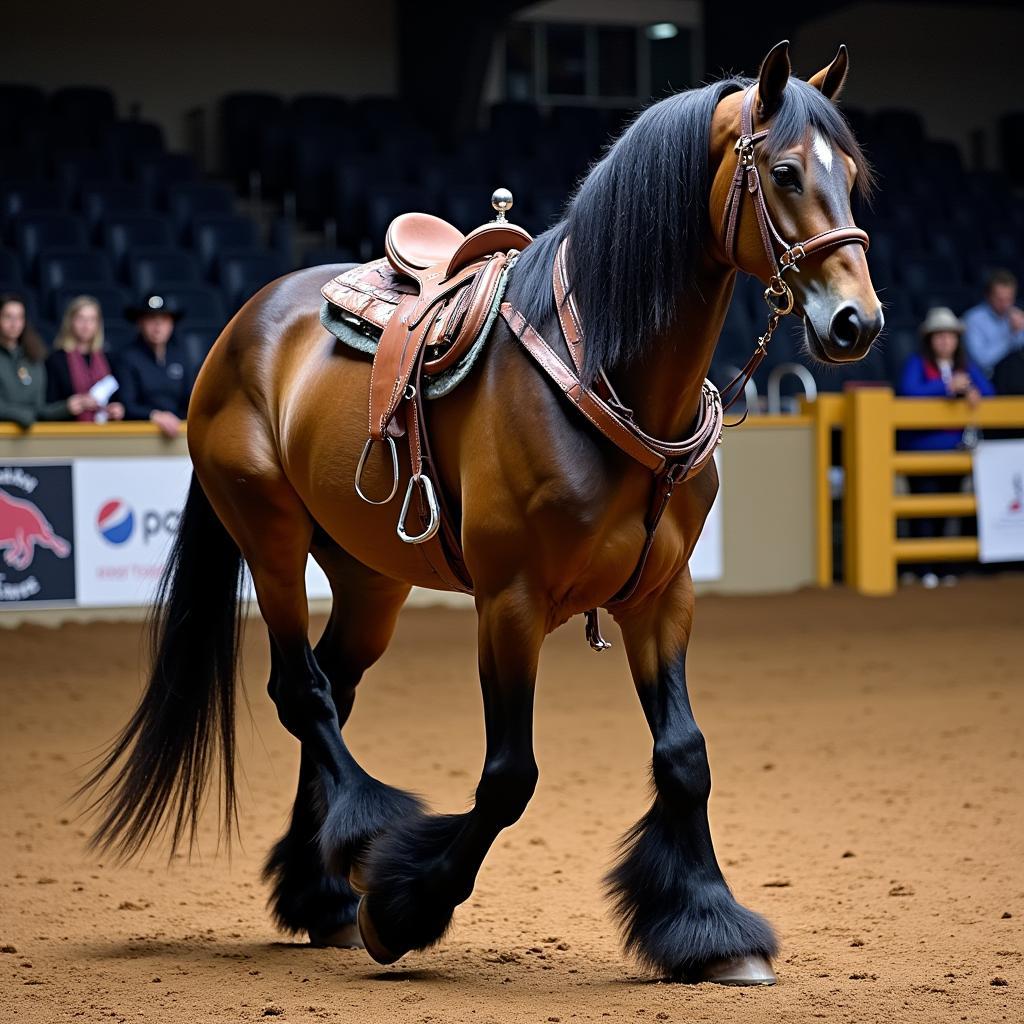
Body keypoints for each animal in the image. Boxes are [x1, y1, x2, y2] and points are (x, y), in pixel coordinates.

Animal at [77, 44, 880, 987]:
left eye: (851, 176)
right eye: (785, 172)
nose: (857, 321)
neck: (599, 370)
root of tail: (243, 324)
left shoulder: (662, 598)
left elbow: (685, 757)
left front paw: (710, 929)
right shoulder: (511, 602)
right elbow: (508, 776)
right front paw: (403, 906)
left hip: (370, 580)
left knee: (333, 690)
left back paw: (321, 889)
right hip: (268, 537)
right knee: (302, 692)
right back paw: (364, 840)